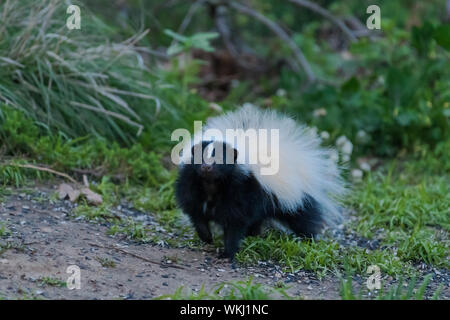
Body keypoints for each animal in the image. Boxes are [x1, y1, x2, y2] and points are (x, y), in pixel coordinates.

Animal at [175, 104, 344, 260]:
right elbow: (197, 215)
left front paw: (227, 253)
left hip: (296, 200)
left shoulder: (240, 191)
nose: (206, 167)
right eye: (200, 157)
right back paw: (253, 235)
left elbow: (234, 223)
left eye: (220, 159)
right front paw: (207, 237)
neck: (212, 185)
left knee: (303, 220)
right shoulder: (192, 186)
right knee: (257, 220)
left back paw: (308, 239)